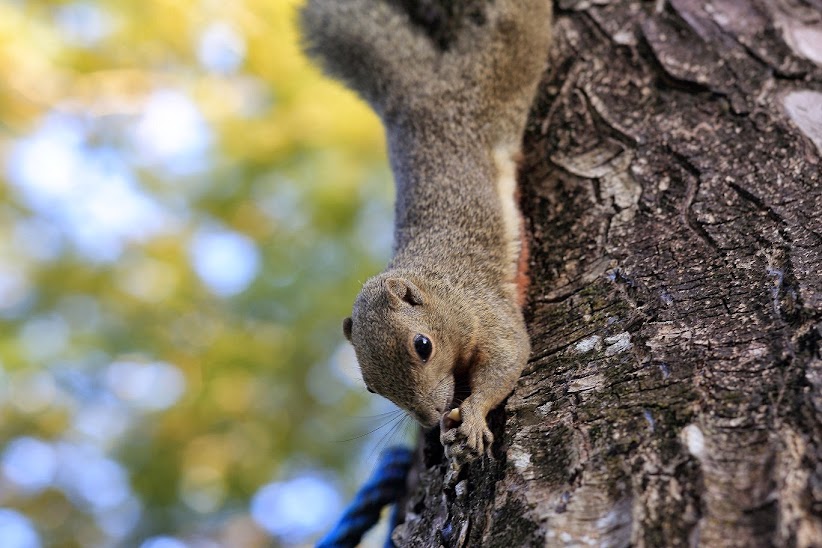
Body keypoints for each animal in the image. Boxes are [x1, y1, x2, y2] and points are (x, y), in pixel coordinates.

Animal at [300, 0, 552, 462]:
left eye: (423, 346)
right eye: (371, 386)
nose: (430, 418)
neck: (441, 288)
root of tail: (417, 94)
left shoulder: (487, 309)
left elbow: (508, 359)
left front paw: (471, 416)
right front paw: (448, 435)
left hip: (502, 70)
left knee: (519, 26)